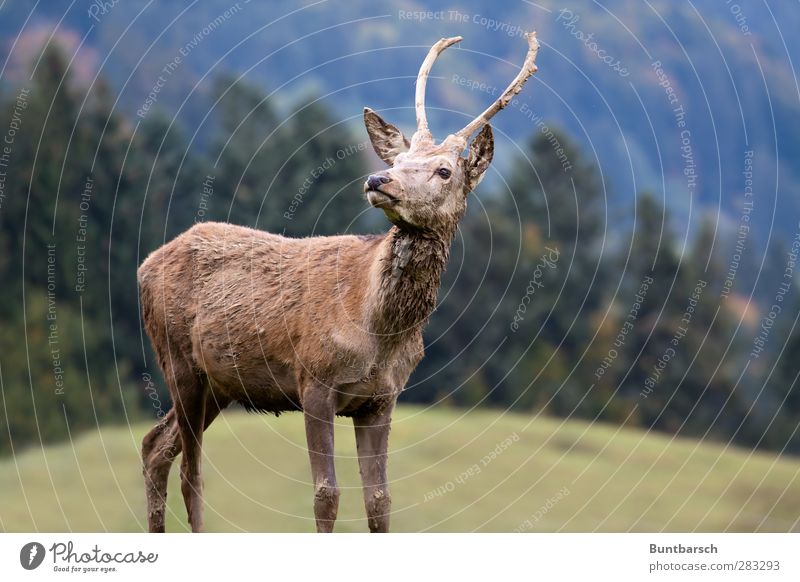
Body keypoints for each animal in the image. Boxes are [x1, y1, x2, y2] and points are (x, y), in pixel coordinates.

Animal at [139, 30, 536, 532]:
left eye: (445, 170)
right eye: (399, 159)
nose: (378, 179)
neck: (377, 329)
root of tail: (144, 265)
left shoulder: (381, 399)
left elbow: (380, 500)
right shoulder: (314, 380)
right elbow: (326, 496)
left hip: (219, 385)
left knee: (155, 446)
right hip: (178, 360)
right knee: (190, 472)